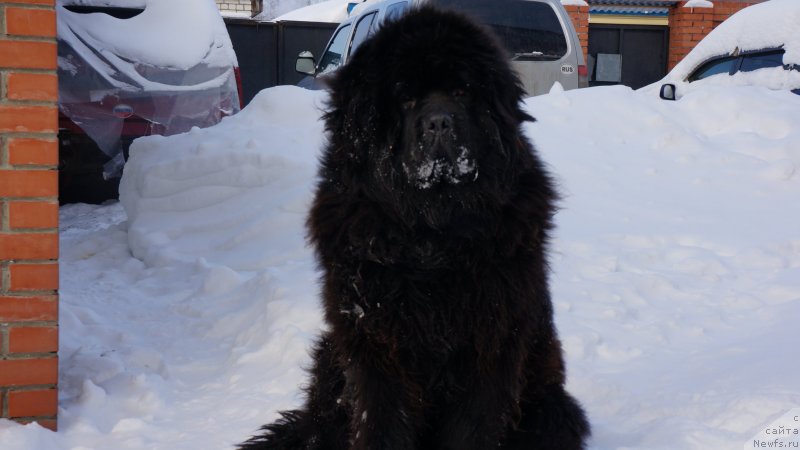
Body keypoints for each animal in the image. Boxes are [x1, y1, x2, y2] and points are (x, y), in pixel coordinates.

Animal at [239, 6, 588, 450]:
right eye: (405, 98)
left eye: (461, 92)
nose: (439, 123)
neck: (430, 232)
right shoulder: (376, 347)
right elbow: (382, 422)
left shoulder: (490, 344)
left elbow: (474, 425)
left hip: (552, 410)